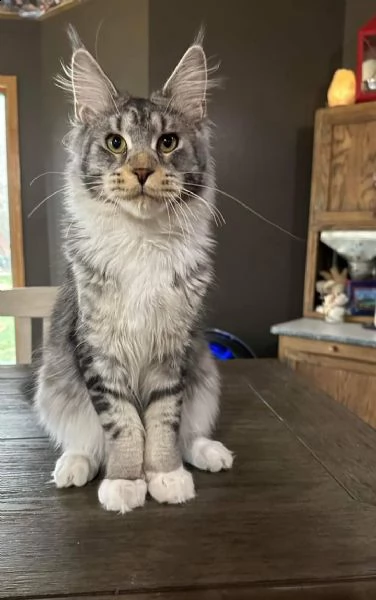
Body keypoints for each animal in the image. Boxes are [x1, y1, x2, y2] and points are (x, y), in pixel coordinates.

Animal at [36, 28, 235, 512]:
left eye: (167, 143)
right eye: (115, 143)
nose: (142, 171)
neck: (142, 241)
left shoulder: (174, 350)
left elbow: (163, 422)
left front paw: (163, 474)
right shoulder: (98, 351)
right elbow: (124, 424)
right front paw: (127, 481)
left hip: (206, 375)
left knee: (191, 433)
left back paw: (211, 454)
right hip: (53, 387)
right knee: (86, 442)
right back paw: (73, 466)